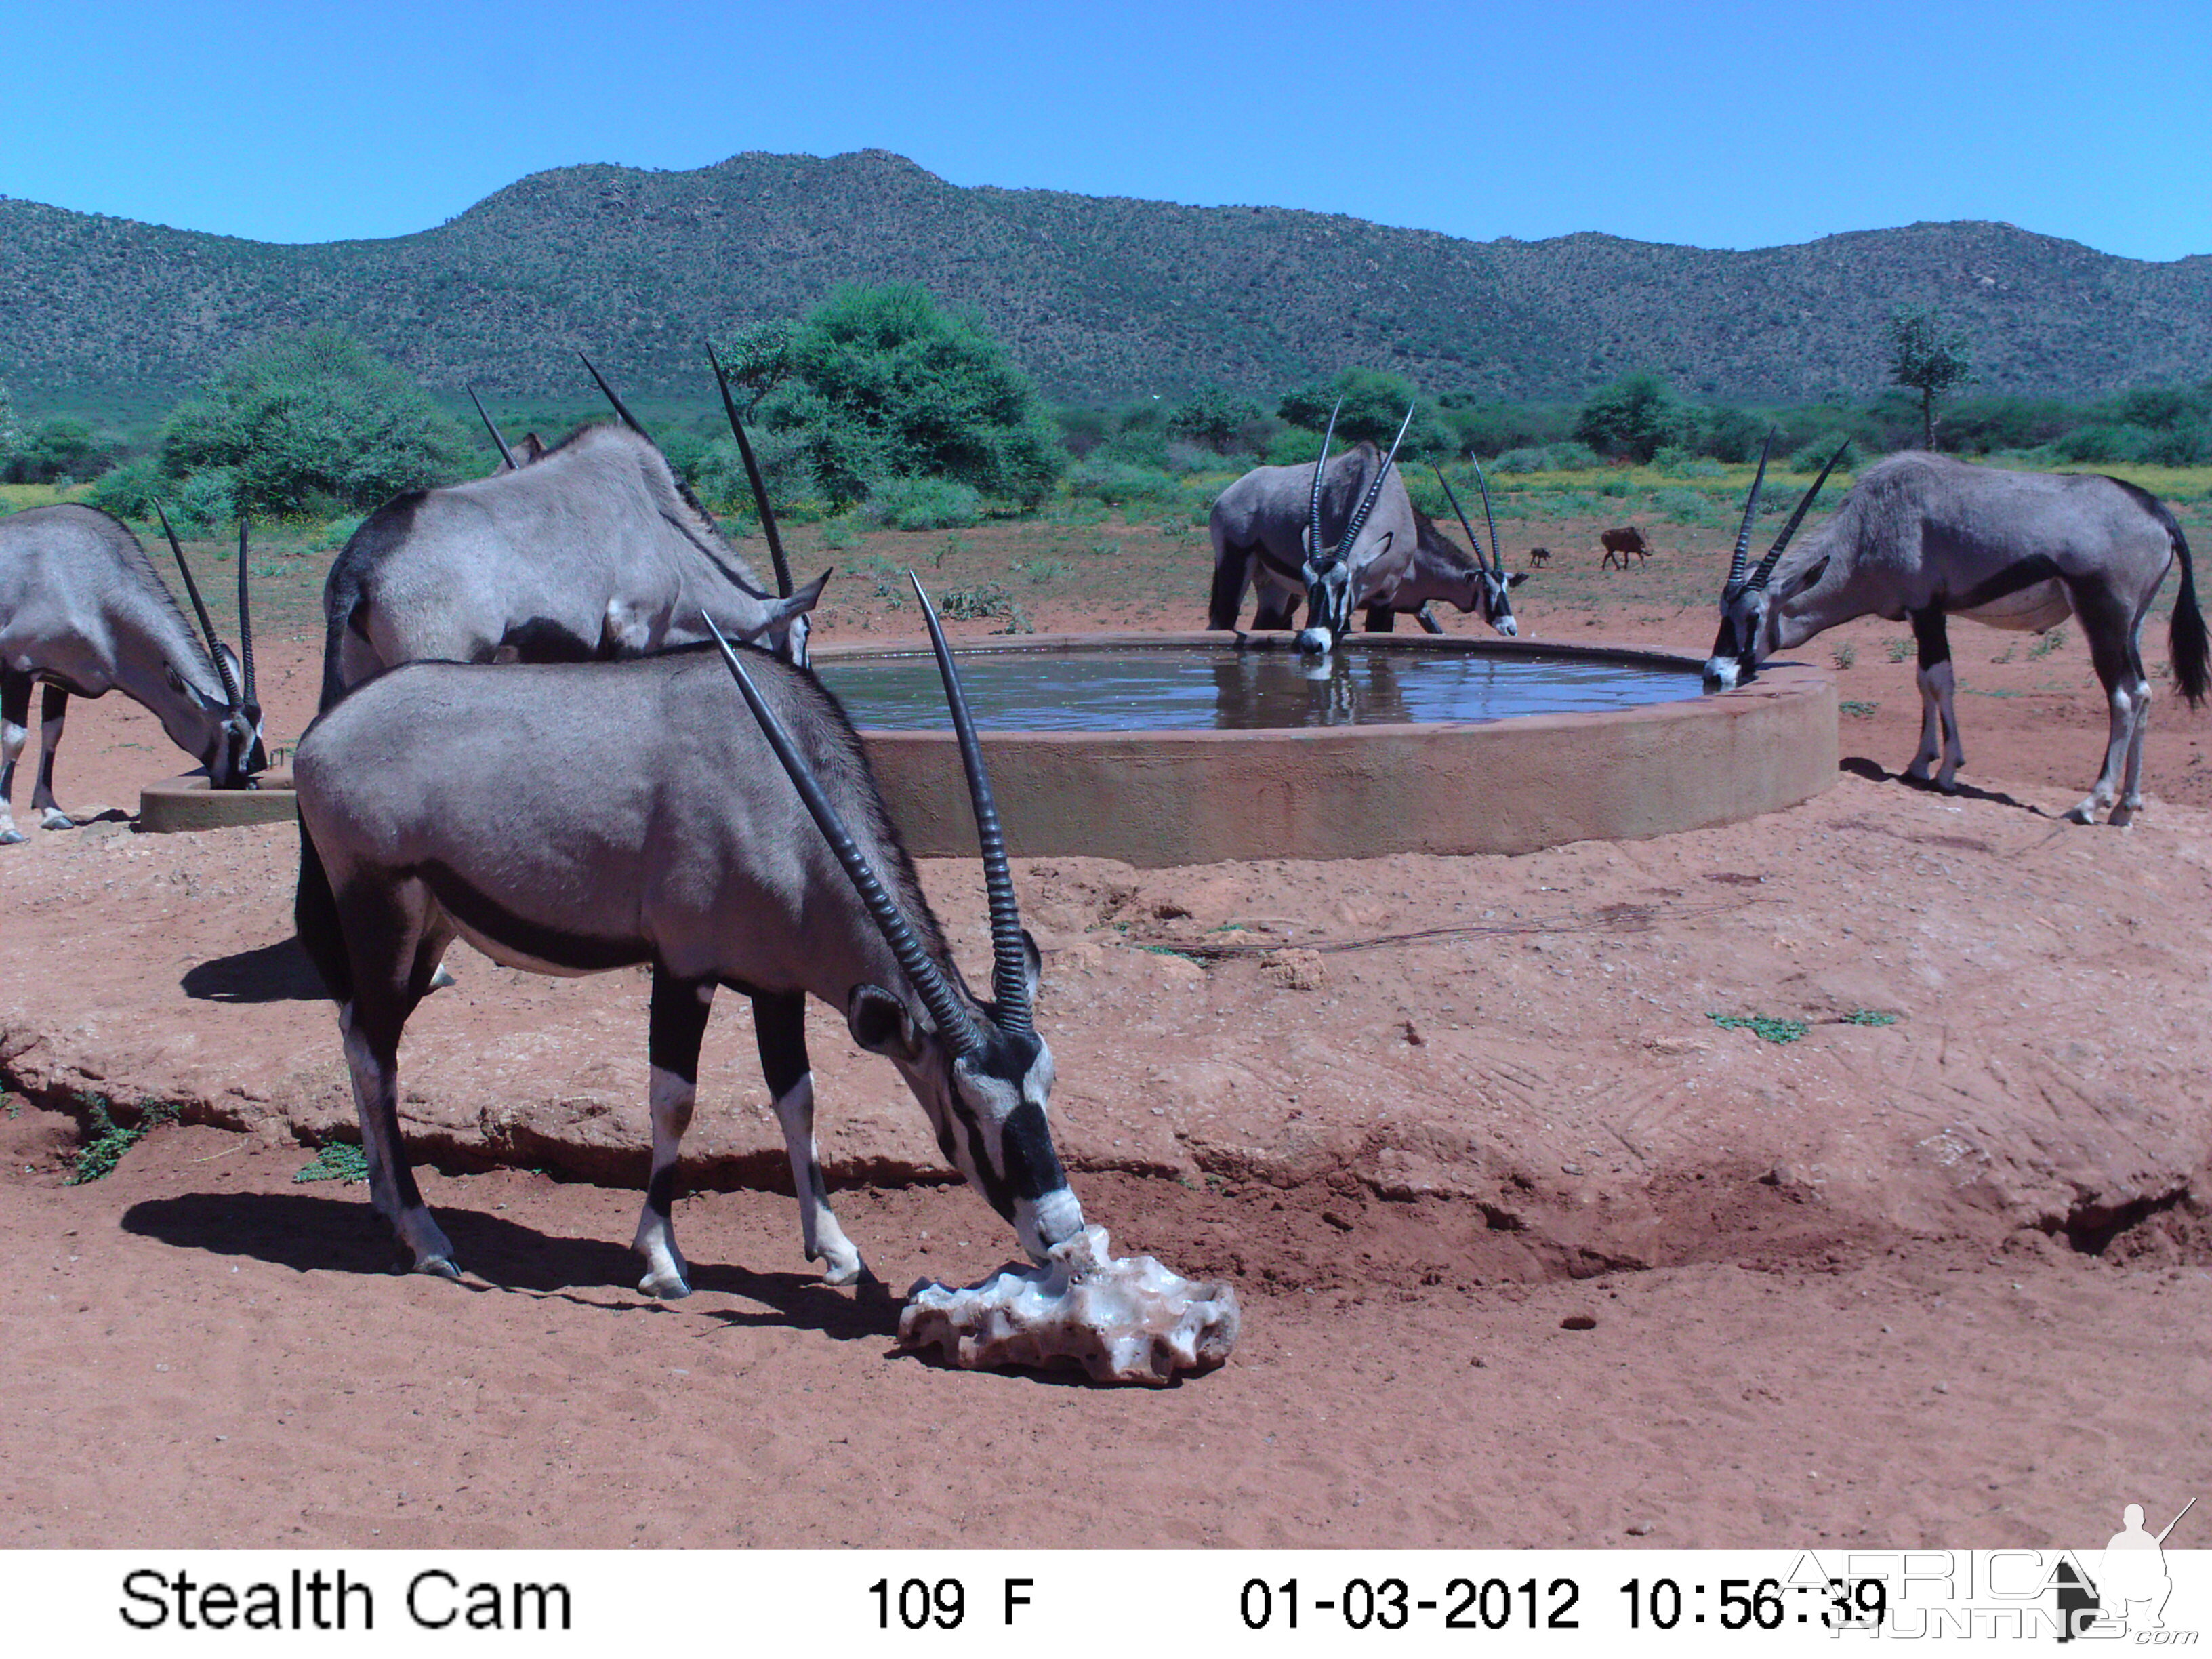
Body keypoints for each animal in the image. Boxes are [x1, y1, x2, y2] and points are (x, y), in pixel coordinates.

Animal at [0, 504, 265, 844]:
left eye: (260, 725)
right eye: (232, 733)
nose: (251, 778)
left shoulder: (59, 678)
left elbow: (53, 733)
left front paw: (52, 812)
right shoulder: (20, 668)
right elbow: (16, 739)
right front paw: (7, 827)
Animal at [294, 579, 1088, 1292]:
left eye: (1048, 1086)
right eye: (967, 1108)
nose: (1063, 1234)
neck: (775, 785)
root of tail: (317, 739)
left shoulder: (777, 984)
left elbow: (798, 1098)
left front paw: (835, 1250)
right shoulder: (684, 968)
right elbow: (674, 1099)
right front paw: (661, 1258)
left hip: (427, 928)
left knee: (355, 1032)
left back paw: (384, 1203)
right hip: (384, 914)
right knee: (377, 1053)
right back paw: (424, 1235)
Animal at [1698, 445, 2203, 827]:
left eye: (1754, 614)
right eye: (1723, 610)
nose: (1714, 675)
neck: (1871, 526)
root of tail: (2158, 513)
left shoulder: (1928, 612)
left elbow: (1938, 680)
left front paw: (1944, 770)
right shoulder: (1923, 615)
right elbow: (1924, 683)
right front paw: (1921, 762)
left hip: (2103, 619)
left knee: (2123, 697)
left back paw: (2090, 804)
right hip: (2131, 625)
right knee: (2143, 691)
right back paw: (2126, 808)